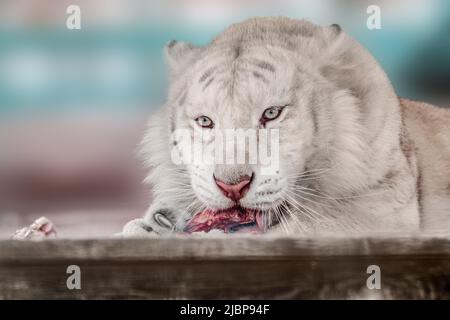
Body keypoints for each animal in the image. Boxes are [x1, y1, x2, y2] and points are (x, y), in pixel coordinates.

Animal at [122, 18, 450, 238]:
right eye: (205, 121)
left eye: (271, 113)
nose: (232, 186)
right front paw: (154, 223)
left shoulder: (387, 205)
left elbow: (315, 225)